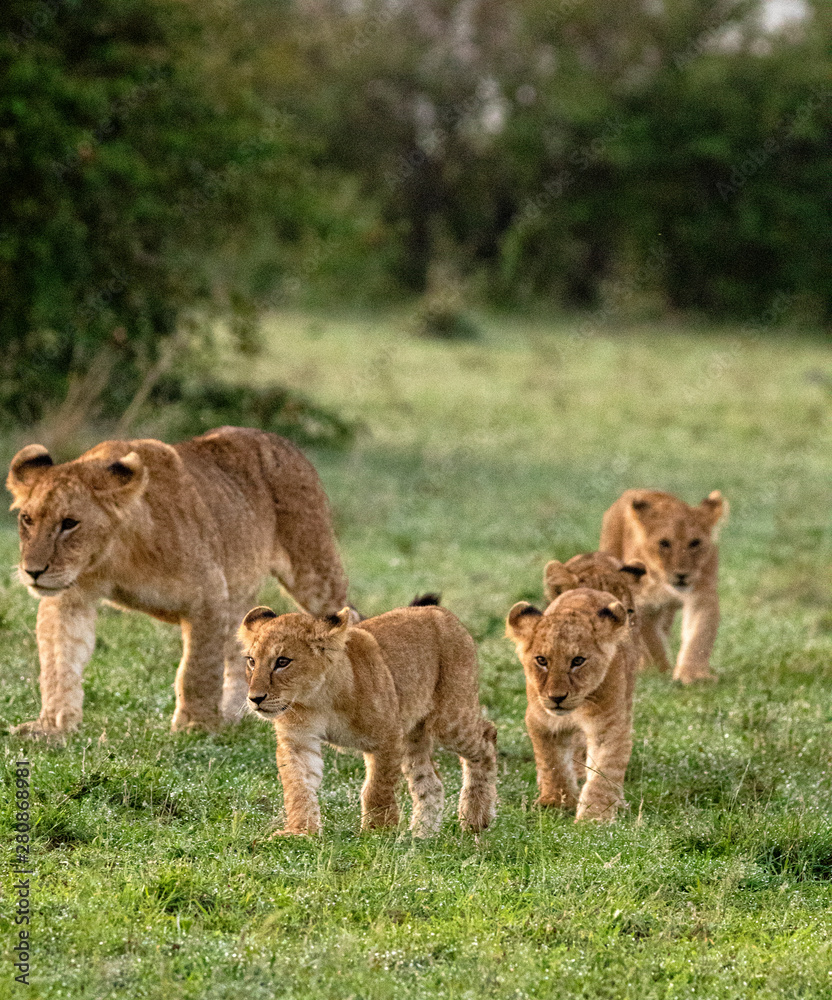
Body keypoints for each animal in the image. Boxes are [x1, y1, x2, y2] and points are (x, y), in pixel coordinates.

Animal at [6, 426, 349, 737]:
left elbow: (197, 669)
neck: (112, 557)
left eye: (69, 523)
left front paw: (194, 726)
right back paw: (233, 715)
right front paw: (52, 726)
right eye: (27, 519)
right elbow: (59, 662)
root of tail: (282, 442)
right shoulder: (69, 597)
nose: (32, 571)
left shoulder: (210, 597)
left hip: (313, 569)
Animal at [238, 600, 497, 837]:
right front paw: (300, 832)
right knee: (431, 783)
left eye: (283, 661)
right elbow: (298, 786)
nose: (255, 698)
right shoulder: (297, 741)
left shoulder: (386, 738)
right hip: (412, 734)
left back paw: (475, 818)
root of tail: (440, 611)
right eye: (251, 661)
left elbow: (377, 788)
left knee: (487, 736)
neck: (317, 699)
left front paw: (377, 832)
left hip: (449, 720)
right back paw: (421, 836)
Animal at [506, 588, 638, 822]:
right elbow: (552, 763)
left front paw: (594, 818)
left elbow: (603, 773)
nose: (557, 697)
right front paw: (555, 803)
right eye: (542, 660)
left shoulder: (609, 728)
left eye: (578, 661)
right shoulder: (543, 723)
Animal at [599, 489, 727, 683]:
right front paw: (660, 670)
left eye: (695, 543)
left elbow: (699, 635)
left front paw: (693, 675)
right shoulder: (642, 604)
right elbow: (651, 641)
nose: (682, 575)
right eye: (664, 543)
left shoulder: (702, 595)